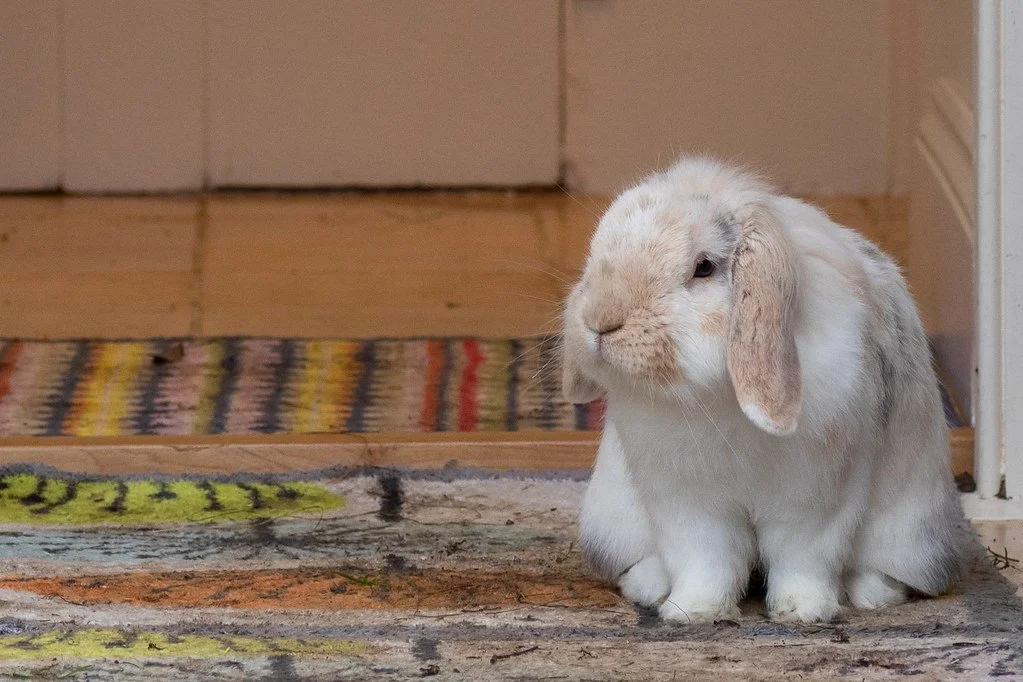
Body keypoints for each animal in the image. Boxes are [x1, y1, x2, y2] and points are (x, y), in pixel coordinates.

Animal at [562, 156, 963, 624]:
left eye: (704, 267)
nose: (600, 321)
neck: (717, 396)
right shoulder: (689, 502)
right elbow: (705, 560)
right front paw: (693, 612)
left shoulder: (813, 498)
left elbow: (801, 558)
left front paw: (803, 612)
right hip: (611, 524)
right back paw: (650, 587)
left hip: (908, 533)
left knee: (884, 570)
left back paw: (869, 594)